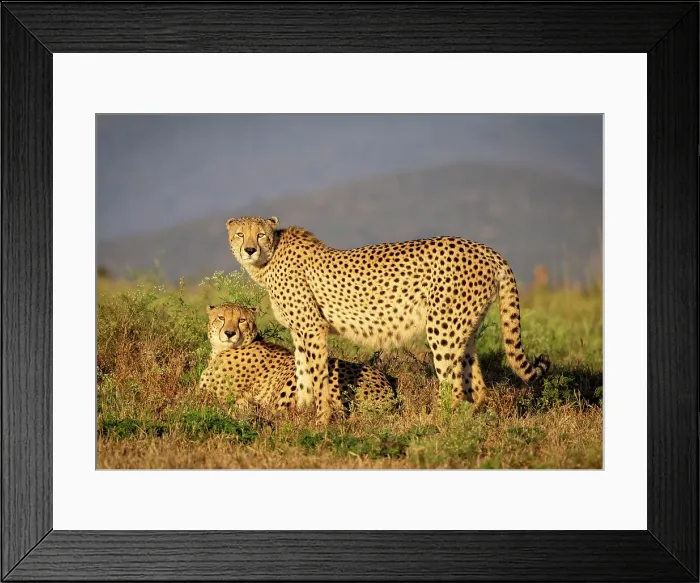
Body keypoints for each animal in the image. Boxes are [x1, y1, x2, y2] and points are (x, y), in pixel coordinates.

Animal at [224, 215, 550, 425]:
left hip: (442, 327)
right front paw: (299, 414)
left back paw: (435, 425)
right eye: (240, 234)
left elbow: (318, 377)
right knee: (477, 385)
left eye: (261, 234)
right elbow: (303, 374)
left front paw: (321, 421)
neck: (269, 259)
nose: (249, 249)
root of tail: (485, 249)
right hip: (463, 327)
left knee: (453, 386)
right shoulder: (300, 332)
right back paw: (471, 419)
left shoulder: (313, 328)